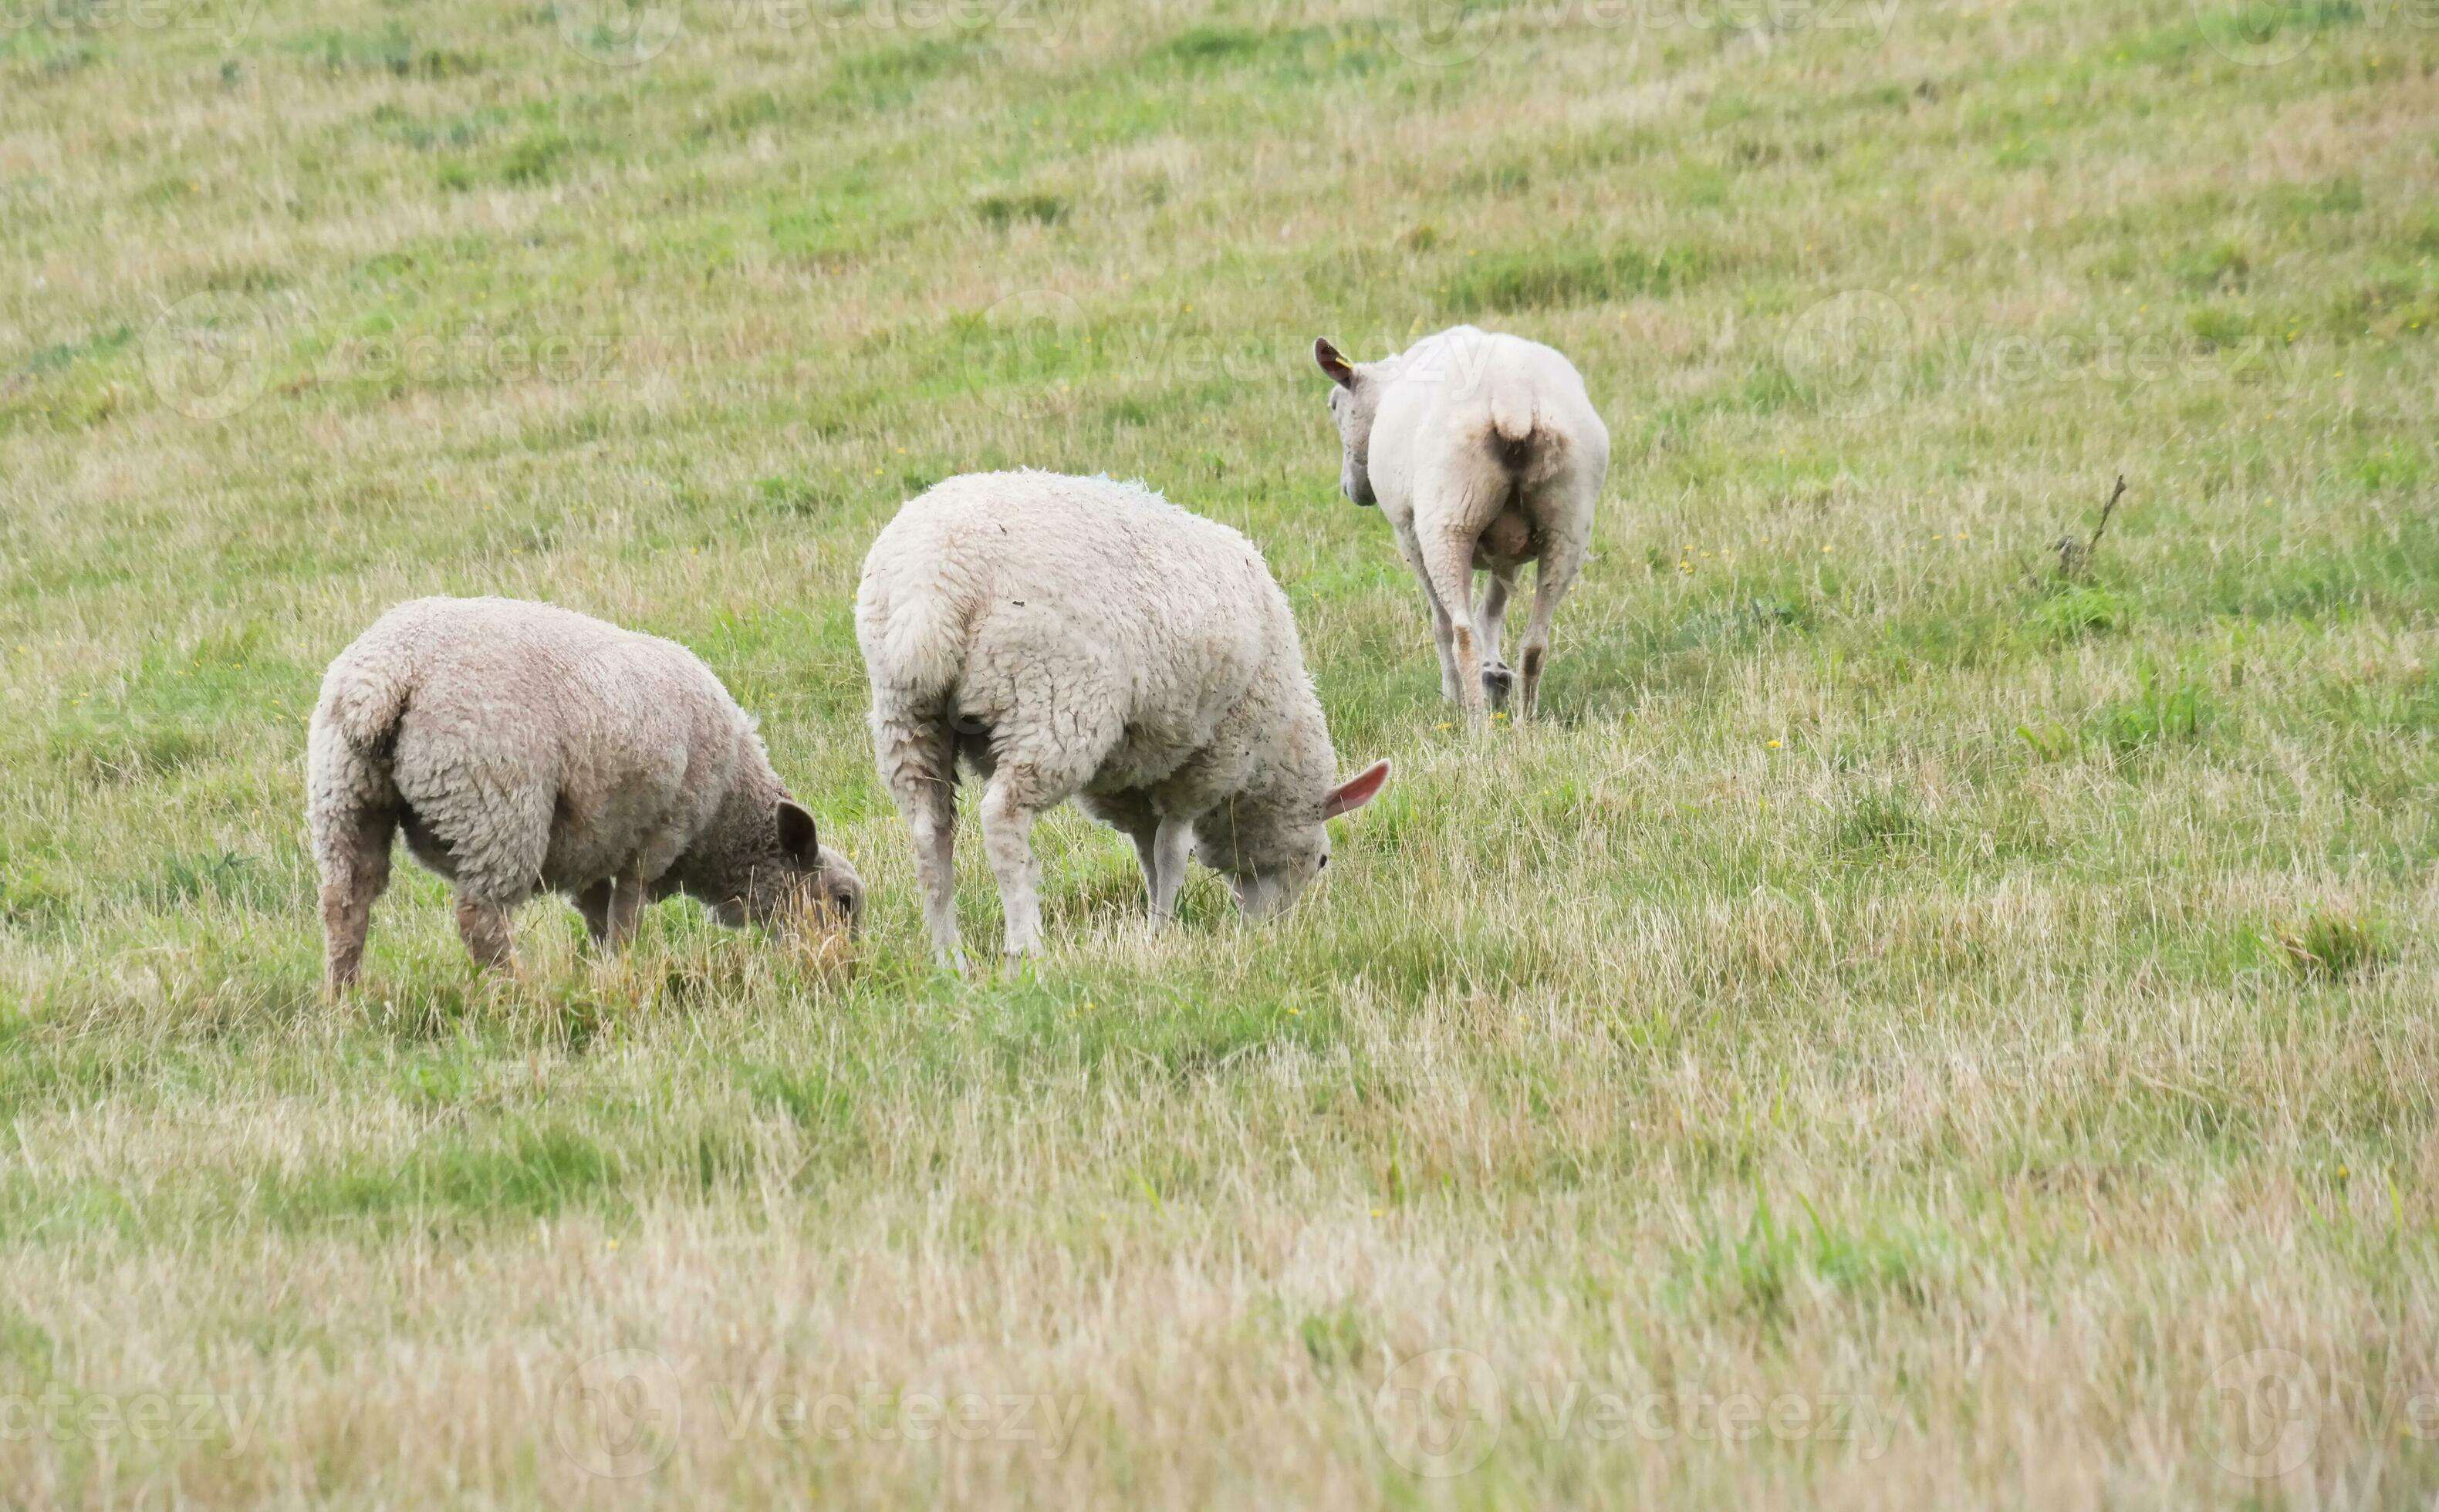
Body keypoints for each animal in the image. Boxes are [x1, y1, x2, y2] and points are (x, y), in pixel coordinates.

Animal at [306, 596, 865, 991]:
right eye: (843, 901)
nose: (846, 968)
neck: (727, 816)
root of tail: (384, 679)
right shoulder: (660, 834)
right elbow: (628, 912)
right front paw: (626, 969)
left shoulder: (596, 846)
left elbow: (599, 914)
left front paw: (603, 971)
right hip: (496, 807)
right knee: (479, 918)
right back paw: (517, 992)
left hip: (344, 797)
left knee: (346, 902)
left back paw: (344, 1001)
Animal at [854, 471, 1391, 967]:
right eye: (1321, 861)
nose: (1270, 932)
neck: (1272, 752)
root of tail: (931, 586)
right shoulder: (1207, 761)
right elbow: (1172, 851)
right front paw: (1162, 931)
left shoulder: (1130, 776)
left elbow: (1148, 851)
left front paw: (1157, 918)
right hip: (1049, 701)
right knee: (1003, 820)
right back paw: (1026, 950)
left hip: (908, 716)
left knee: (930, 834)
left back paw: (950, 960)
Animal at [1312, 324, 1609, 726]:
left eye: (1334, 405)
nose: (1350, 489)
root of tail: (1513, 399)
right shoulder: (1510, 552)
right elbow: (1493, 611)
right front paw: (1494, 676)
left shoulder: (1410, 534)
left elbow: (1443, 623)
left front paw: (1452, 696)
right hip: (1567, 524)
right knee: (1535, 640)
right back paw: (1523, 722)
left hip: (1448, 521)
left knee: (1461, 632)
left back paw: (1475, 723)